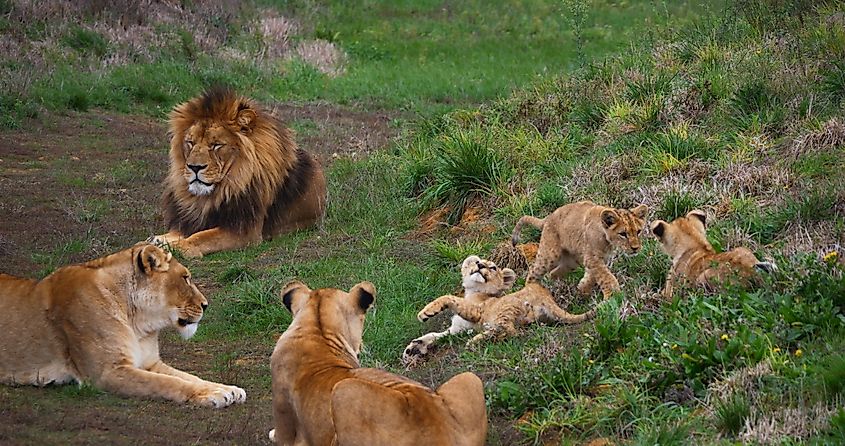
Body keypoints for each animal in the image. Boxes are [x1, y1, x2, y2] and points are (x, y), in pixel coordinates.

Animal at [0, 243, 246, 407]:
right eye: (185, 278)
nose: (206, 305)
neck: (139, 323)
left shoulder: (150, 363)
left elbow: (188, 377)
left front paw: (228, 389)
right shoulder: (108, 372)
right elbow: (169, 383)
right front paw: (213, 395)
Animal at [149, 86, 327, 258]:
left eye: (216, 145)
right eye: (190, 142)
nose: (194, 167)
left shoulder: (245, 231)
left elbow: (203, 236)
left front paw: (180, 246)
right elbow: (174, 232)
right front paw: (160, 240)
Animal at [270, 281, 487, 446]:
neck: (318, 331)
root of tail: (440, 430)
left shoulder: (284, 418)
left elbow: (281, 436)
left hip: (344, 391)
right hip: (469, 378)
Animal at [407, 256, 595, 357]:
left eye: (493, 267)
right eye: (477, 262)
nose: (479, 265)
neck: (473, 290)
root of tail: (547, 296)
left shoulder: (477, 311)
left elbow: (448, 297)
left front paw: (425, 313)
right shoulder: (458, 328)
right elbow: (435, 335)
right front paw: (414, 347)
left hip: (505, 309)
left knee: (510, 331)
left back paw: (475, 341)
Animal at [512, 200, 648, 299]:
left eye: (638, 231)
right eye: (623, 234)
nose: (635, 248)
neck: (607, 240)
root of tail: (548, 217)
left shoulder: (597, 259)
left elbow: (592, 276)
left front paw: (582, 288)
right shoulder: (592, 259)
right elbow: (607, 277)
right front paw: (613, 297)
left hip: (571, 262)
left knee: (553, 273)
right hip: (550, 255)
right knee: (533, 273)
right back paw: (531, 293)